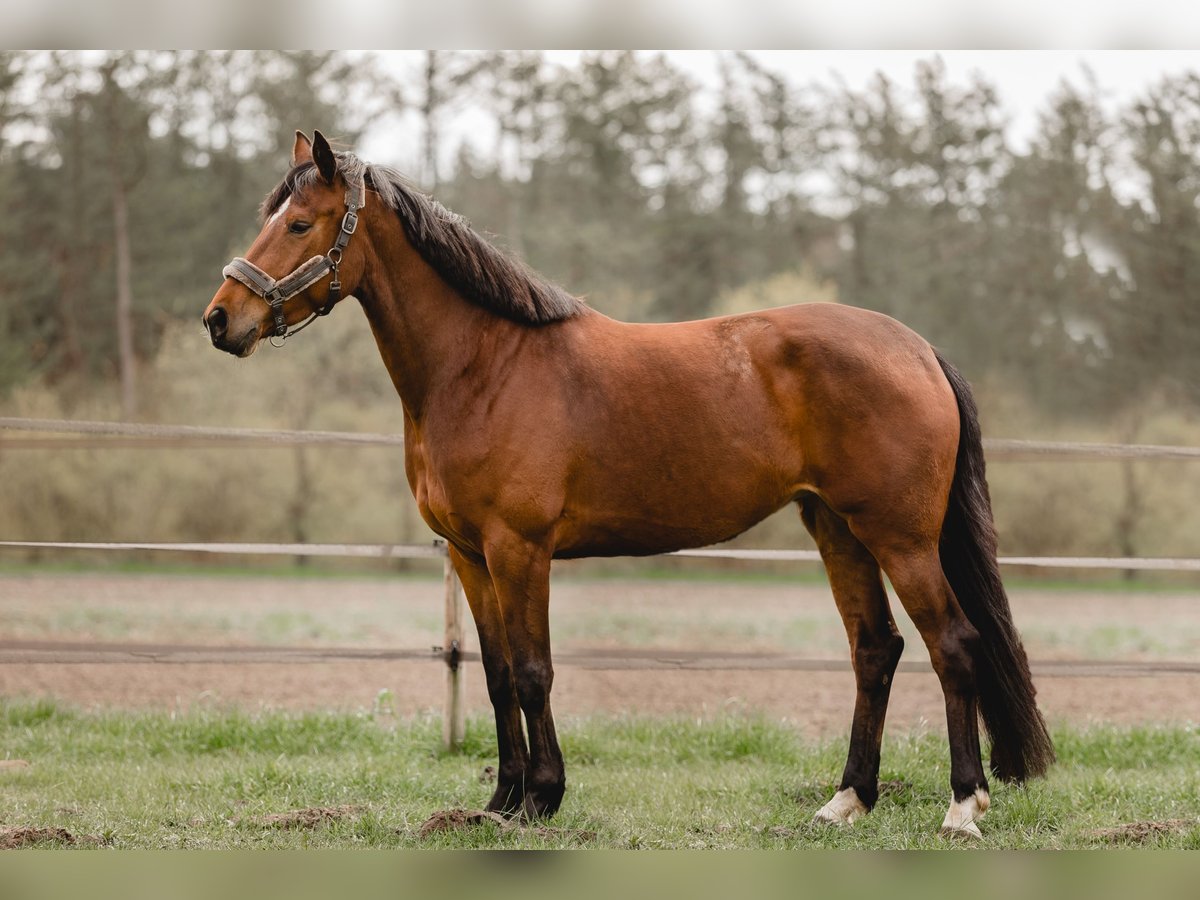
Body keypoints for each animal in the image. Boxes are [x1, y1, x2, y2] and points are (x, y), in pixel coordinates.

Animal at [204, 128, 1051, 840]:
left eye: (300, 225)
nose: (220, 320)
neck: (483, 366)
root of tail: (917, 347)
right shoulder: (471, 558)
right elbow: (497, 677)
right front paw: (500, 800)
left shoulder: (519, 550)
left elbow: (534, 671)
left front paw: (542, 798)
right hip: (837, 529)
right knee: (876, 650)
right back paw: (846, 801)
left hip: (899, 536)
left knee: (953, 644)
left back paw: (962, 807)